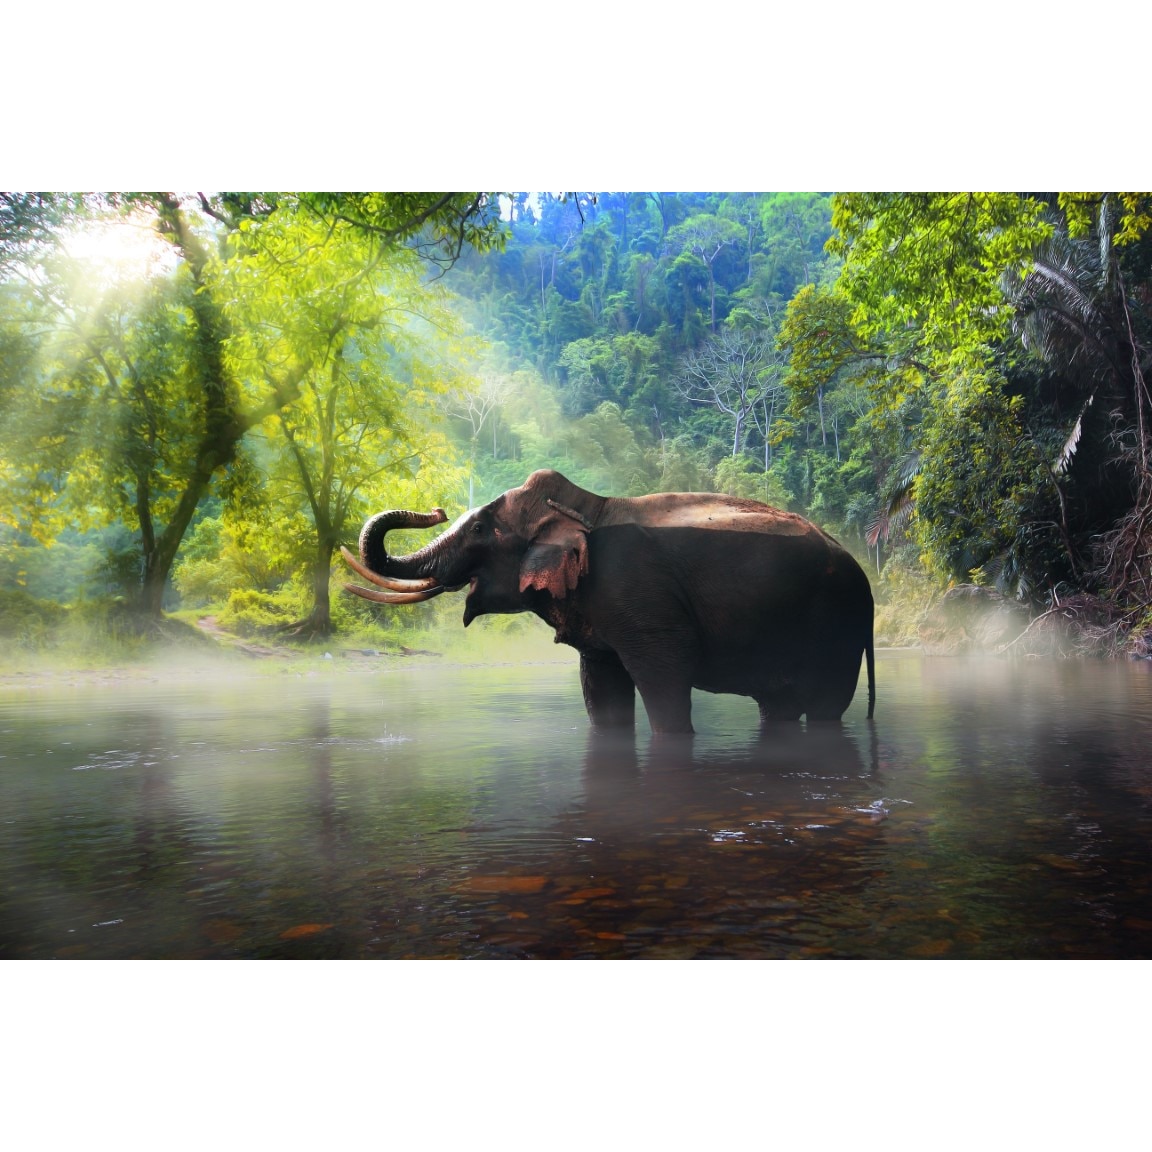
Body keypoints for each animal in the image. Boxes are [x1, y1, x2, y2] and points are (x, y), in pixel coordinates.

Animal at [342, 469, 875, 735]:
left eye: (478, 529)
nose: (435, 509)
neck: (588, 507)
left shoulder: (642, 600)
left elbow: (665, 679)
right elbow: (600, 687)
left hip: (839, 625)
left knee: (827, 706)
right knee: (778, 706)